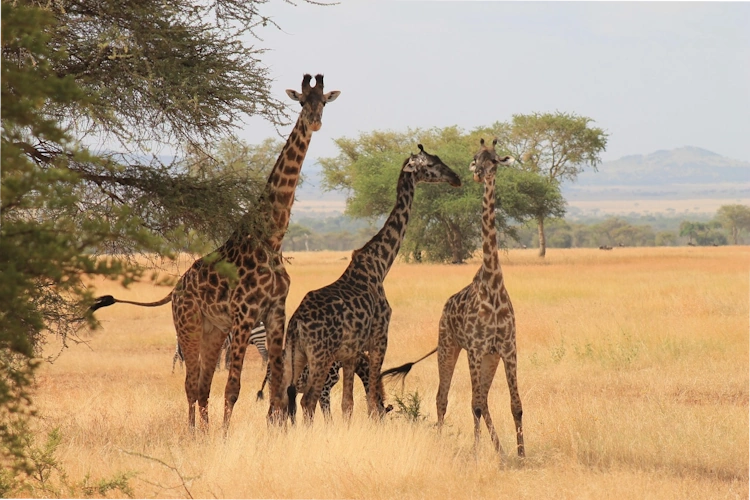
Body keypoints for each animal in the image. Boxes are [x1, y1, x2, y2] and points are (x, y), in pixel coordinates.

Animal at [89, 74, 340, 431]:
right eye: (303, 101)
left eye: (324, 102)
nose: (315, 121)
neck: (271, 239)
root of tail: (175, 289)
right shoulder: (244, 313)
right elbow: (233, 387)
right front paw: (225, 435)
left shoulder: (275, 312)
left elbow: (277, 387)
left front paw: (273, 431)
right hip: (189, 324)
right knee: (191, 384)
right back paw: (195, 433)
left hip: (213, 330)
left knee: (203, 385)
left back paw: (204, 432)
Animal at [274, 145, 462, 423]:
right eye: (431, 164)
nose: (456, 178)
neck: (380, 265)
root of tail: (296, 323)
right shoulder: (379, 337)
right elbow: (372, 401)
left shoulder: (351, 352)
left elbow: (348, 404)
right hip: (320, 356)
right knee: (307, 400)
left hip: (294, 356)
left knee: (279, 404)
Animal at [381, 138, 524, 458]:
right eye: (475, 158)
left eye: (494, 160)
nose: (478, 174)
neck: (493, 286)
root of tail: (445, 308)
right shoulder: (475, 348)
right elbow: (475, 405)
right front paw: (476, 454)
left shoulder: (507, 348)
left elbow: (515, 405)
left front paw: (522, 455)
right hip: (448, 345)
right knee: (444, 398)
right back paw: (446, 443)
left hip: (488, 357)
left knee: (483, 399)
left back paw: (500, 451)